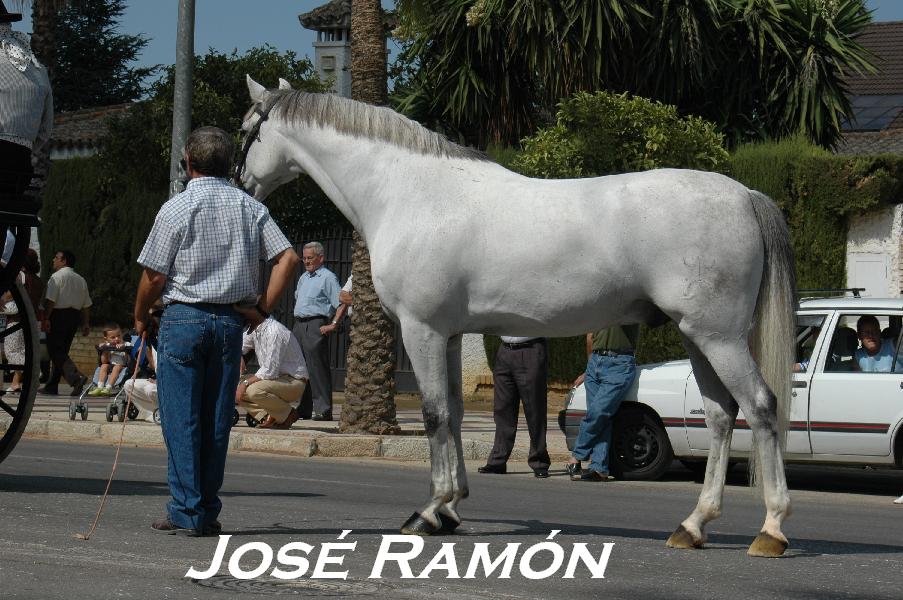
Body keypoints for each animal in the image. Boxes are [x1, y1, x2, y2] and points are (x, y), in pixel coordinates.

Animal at [237, 76, 796, 556]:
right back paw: (694, 525)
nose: (239, 183)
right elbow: (454, 413)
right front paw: (452, 507)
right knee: (721, 416)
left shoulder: (422, 330)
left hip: (718, 337)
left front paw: (429, 511)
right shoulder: (449, 335)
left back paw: (770, 530)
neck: (411, 193)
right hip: (697, 337)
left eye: (245, 130)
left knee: (761, 407)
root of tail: (745, 196)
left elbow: (435, 414)